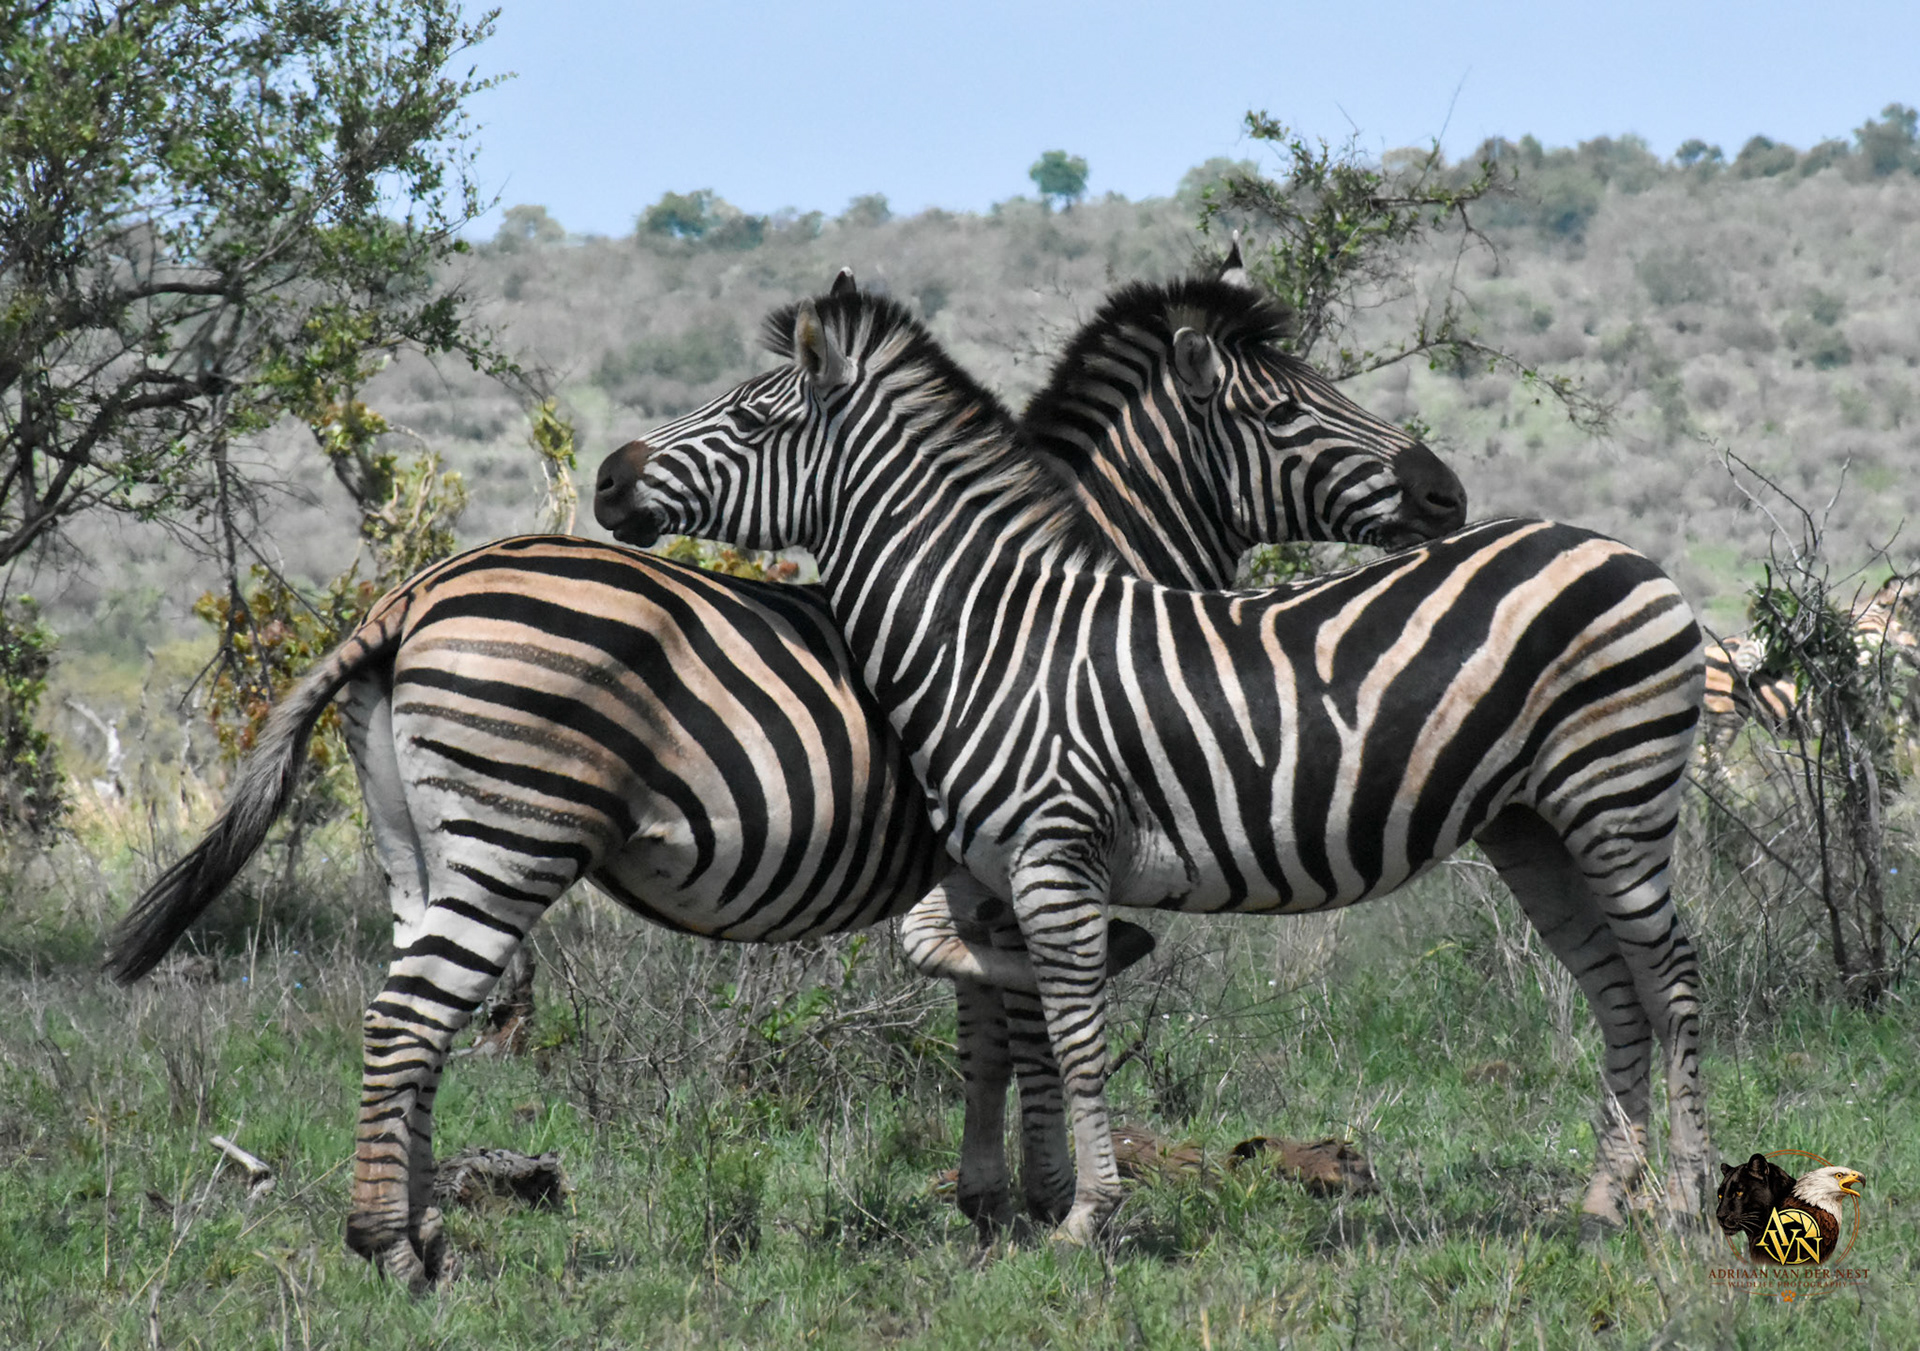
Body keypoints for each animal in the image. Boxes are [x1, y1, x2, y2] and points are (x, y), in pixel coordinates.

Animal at [105, 262, 1463, 1286]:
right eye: (1290, 412)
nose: (1445, 486)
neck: (1042, 598)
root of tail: (410, 594)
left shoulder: (984, 863)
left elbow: (983, 1029)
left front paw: (992, 1201)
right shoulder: (1013, 848)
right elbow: (1028, 1025)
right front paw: (1044, 1200)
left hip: (417, 847)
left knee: (416, 1019)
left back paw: (422, 1227)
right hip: (513, 837)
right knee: (408, 1016)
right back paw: (390, 1248)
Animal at [593, 284, 1714, 1245]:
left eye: (750, 419)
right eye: (1284, 406)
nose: (608, 477)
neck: (986, 632)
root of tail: (1621, 551)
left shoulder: (1050, 857)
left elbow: (1068, 1032)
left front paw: (1080, 1213)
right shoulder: (992, 869)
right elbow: (993, 1003)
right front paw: (1022, 1191)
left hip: (1615, 799)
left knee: (1671, 977)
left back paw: (1686, 1200)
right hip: (1534, 826)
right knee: (1615, 985)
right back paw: (1604, 1199)